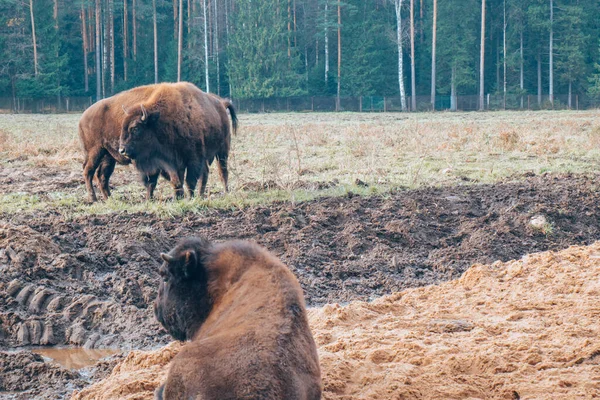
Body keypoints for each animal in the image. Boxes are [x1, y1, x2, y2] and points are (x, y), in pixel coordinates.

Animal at [78, 81, 238, 202]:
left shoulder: (191, 158)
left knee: (222, 172)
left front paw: (184, 197)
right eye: (123, 126)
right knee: (92, 173)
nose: (122, 150)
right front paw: (175, 197)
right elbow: (170, 180)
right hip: (98, 152)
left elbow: (187, 180)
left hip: (222, 150)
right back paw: (97, 199)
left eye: (135, 128)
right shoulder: (167, 161)